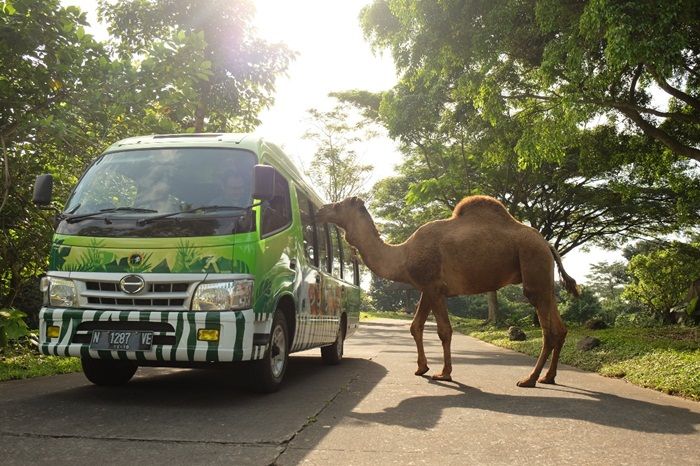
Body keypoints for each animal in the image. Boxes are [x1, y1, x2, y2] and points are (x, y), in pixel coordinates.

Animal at [318, 194, 580, 386]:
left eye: (339, 205)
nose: (321, 209)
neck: (402, 255)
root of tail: (547, 244)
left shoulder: (434, 287)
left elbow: (444, 330)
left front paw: (444, 373)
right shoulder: (427, 288)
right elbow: (415, 326)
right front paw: (421, 367)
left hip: (533, 266)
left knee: (548, 330)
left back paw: (529, 379)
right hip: (545, 280)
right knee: (560, 327)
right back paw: (548, 377)